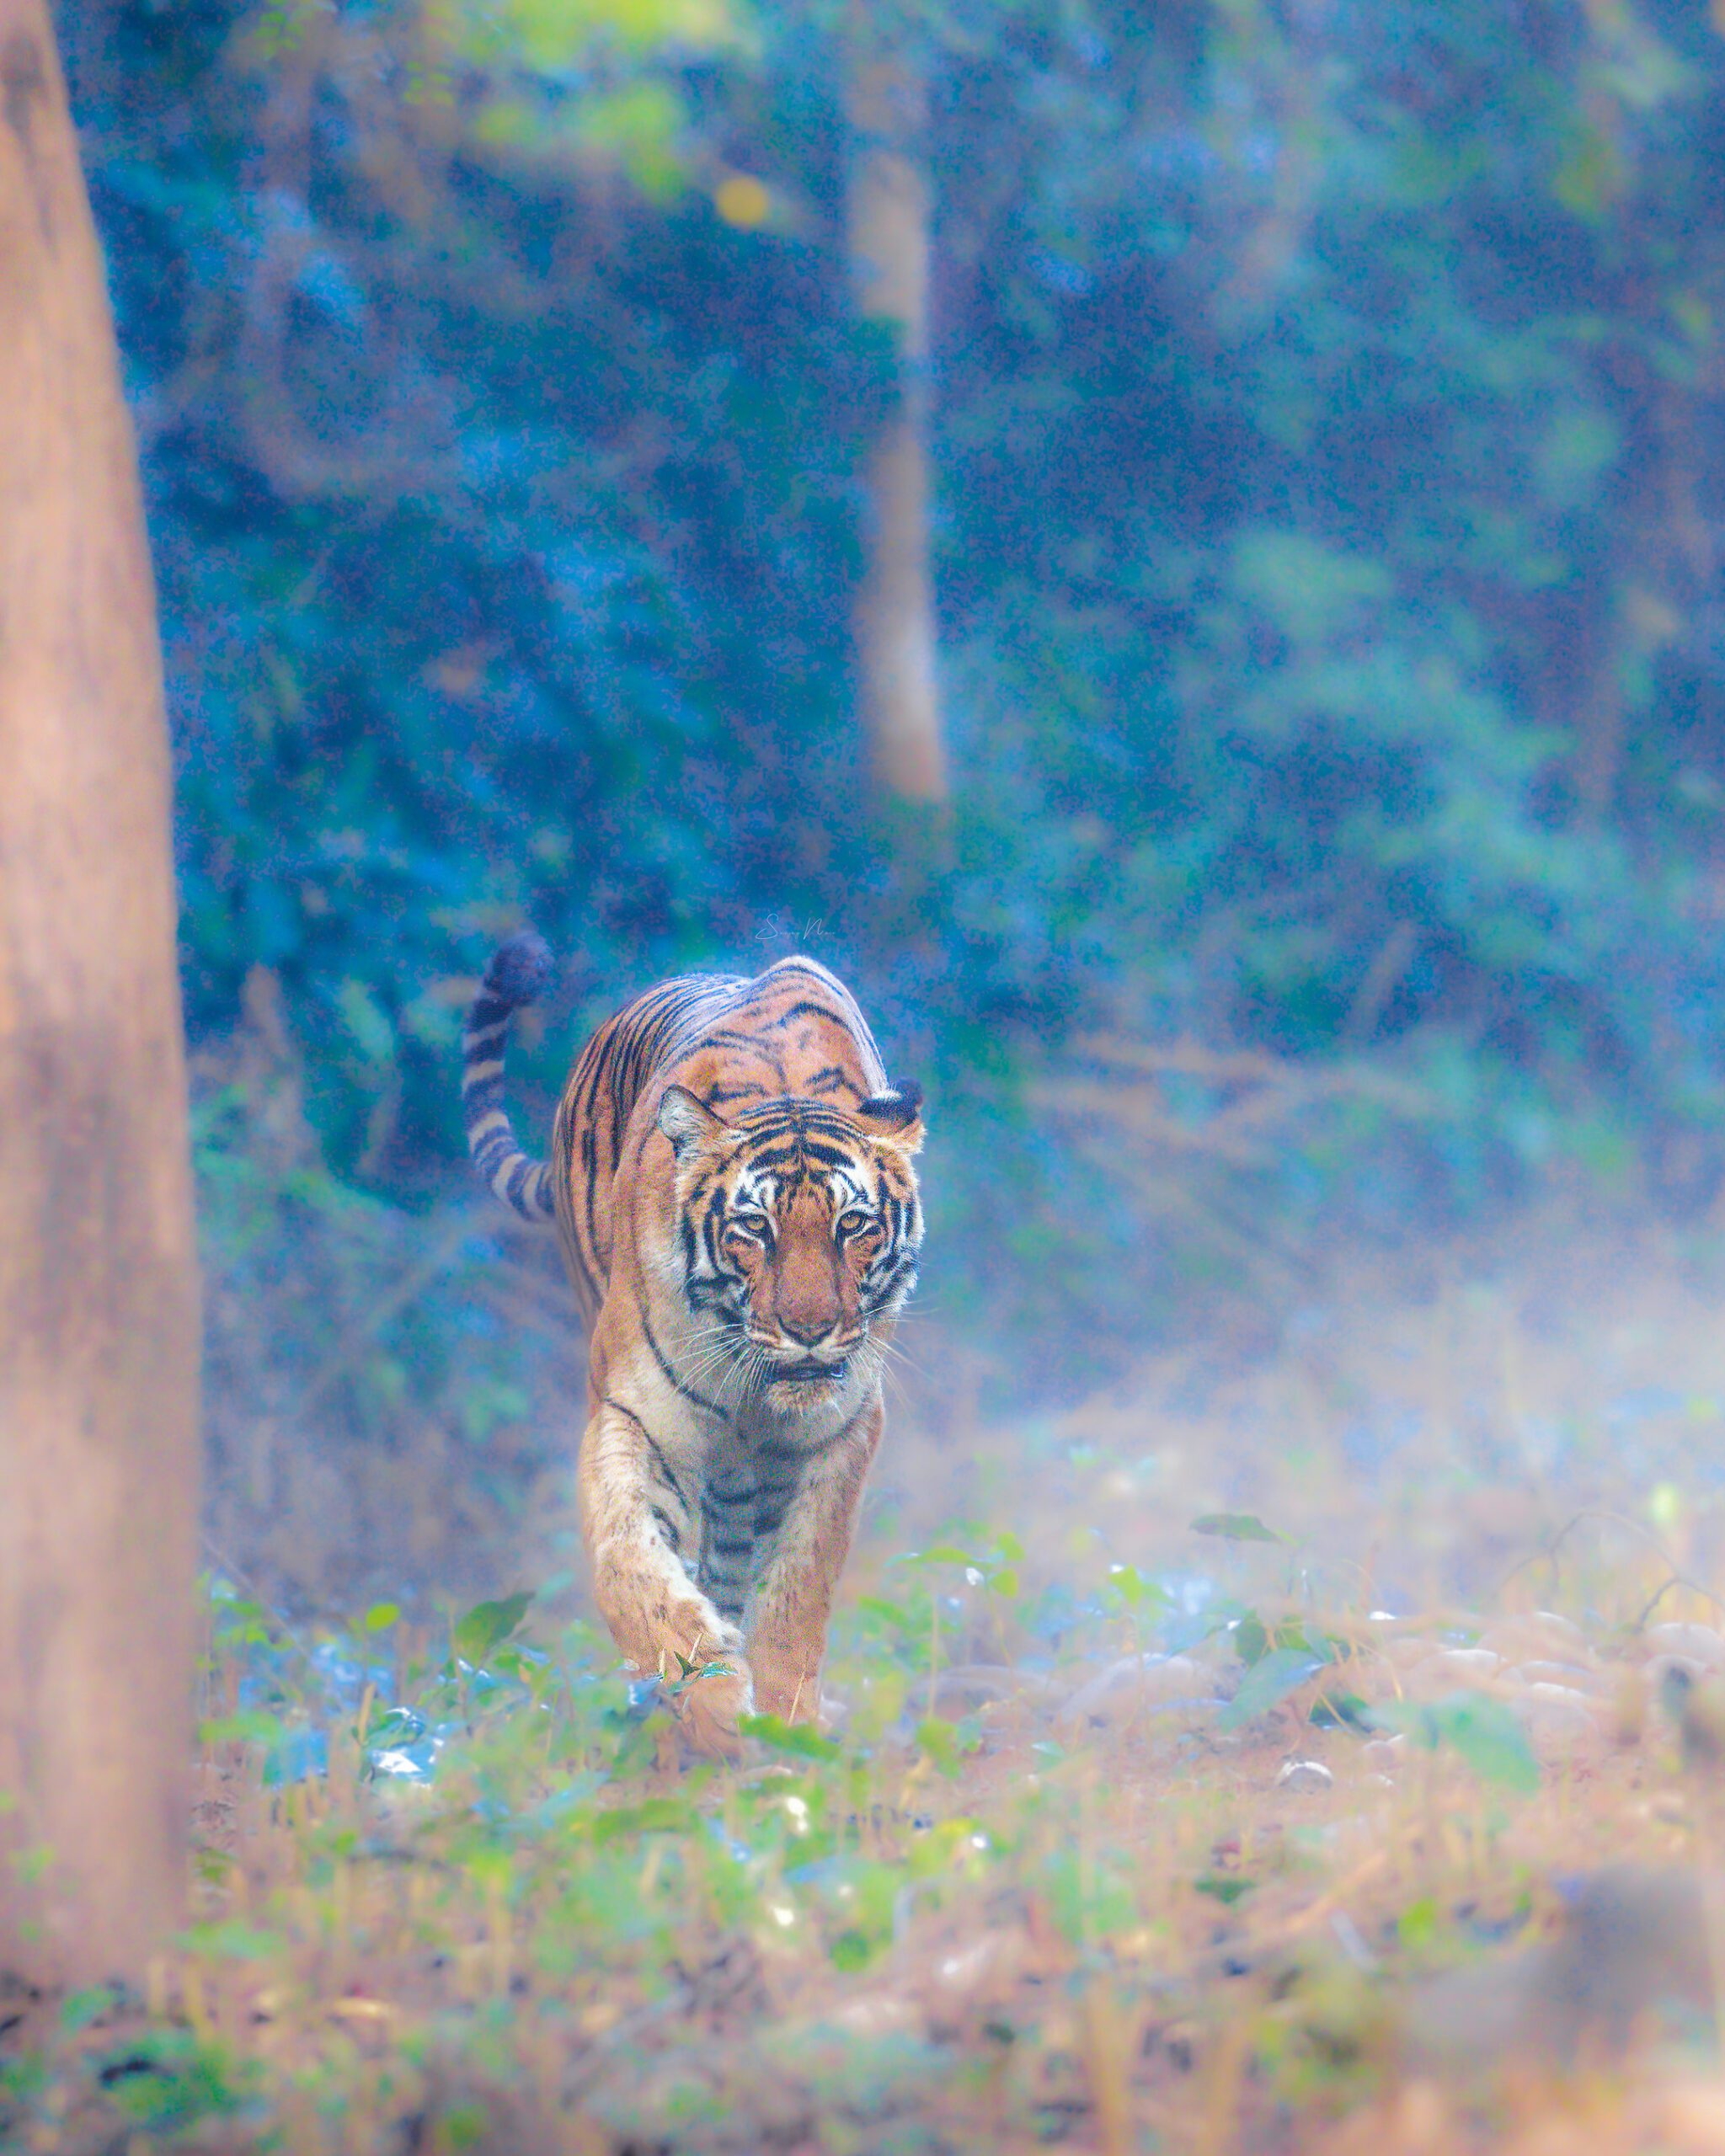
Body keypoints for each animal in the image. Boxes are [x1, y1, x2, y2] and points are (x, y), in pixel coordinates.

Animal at [455, 936, 914, 1758]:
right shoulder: (635, 1413)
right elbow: (628, 1555)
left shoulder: (842, 1428)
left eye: (853, 1225)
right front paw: (709, 1700)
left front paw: (784, 1724)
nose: (808, 1329)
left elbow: (799, 1583)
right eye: (755, 1227)